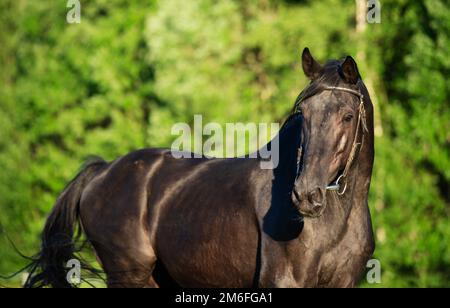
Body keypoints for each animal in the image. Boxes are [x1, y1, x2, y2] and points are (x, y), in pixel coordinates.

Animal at [25, 47, 376, 286]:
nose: (305, 196)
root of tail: (102, 170)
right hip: (131, 276)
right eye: (304, 113)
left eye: (347, 116)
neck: (336, 220)